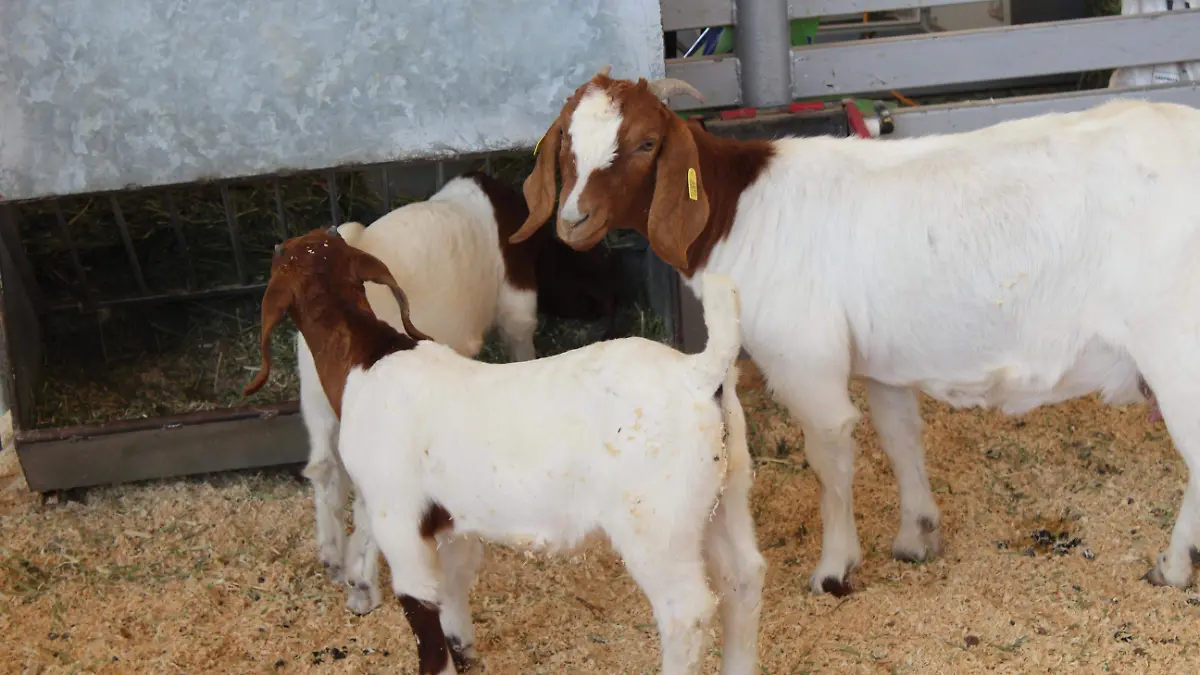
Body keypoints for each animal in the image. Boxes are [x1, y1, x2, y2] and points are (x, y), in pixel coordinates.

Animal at [246, 227, 766, 675]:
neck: (367, 358)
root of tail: (699, 374)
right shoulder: (450, 521)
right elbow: (452, 590)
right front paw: (465, 651)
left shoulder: (396, 514)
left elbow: (420, 605)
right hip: (726, 494)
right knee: (743, 578)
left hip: (656, 521)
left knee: (687, 611)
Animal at [508, 69, 1200, 595]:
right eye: (567, 142)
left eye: (648, 143)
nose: (574, 220)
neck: (739, 210)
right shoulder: (883, 365)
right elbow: (900, 440)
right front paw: (917, 535)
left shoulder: (805, 361)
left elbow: (829, 459)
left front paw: (834, 570)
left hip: (1175, 348)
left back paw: (1172, 567)